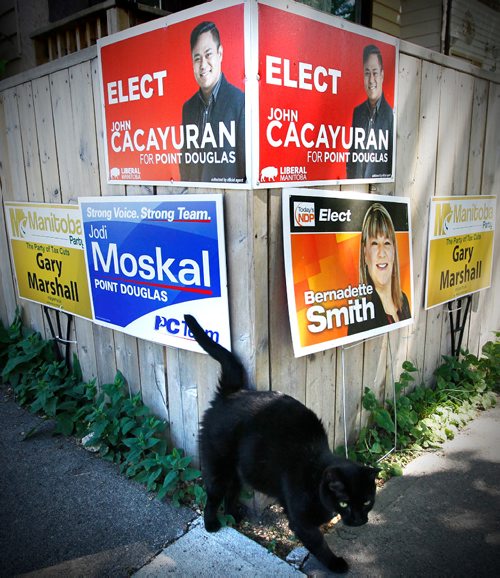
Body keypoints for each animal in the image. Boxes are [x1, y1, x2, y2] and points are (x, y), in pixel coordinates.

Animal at [185, 316, 378, 572]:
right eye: (345, 503)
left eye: (366, 501)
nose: (357, 520)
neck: (314, 476)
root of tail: (231, 393)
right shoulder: (300, 522)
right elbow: (319, 545)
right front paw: (336, 564)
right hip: (218, 466)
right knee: (213, 495)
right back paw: (212, 524)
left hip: (238, 470)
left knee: (231, 492)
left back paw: (234, 516)